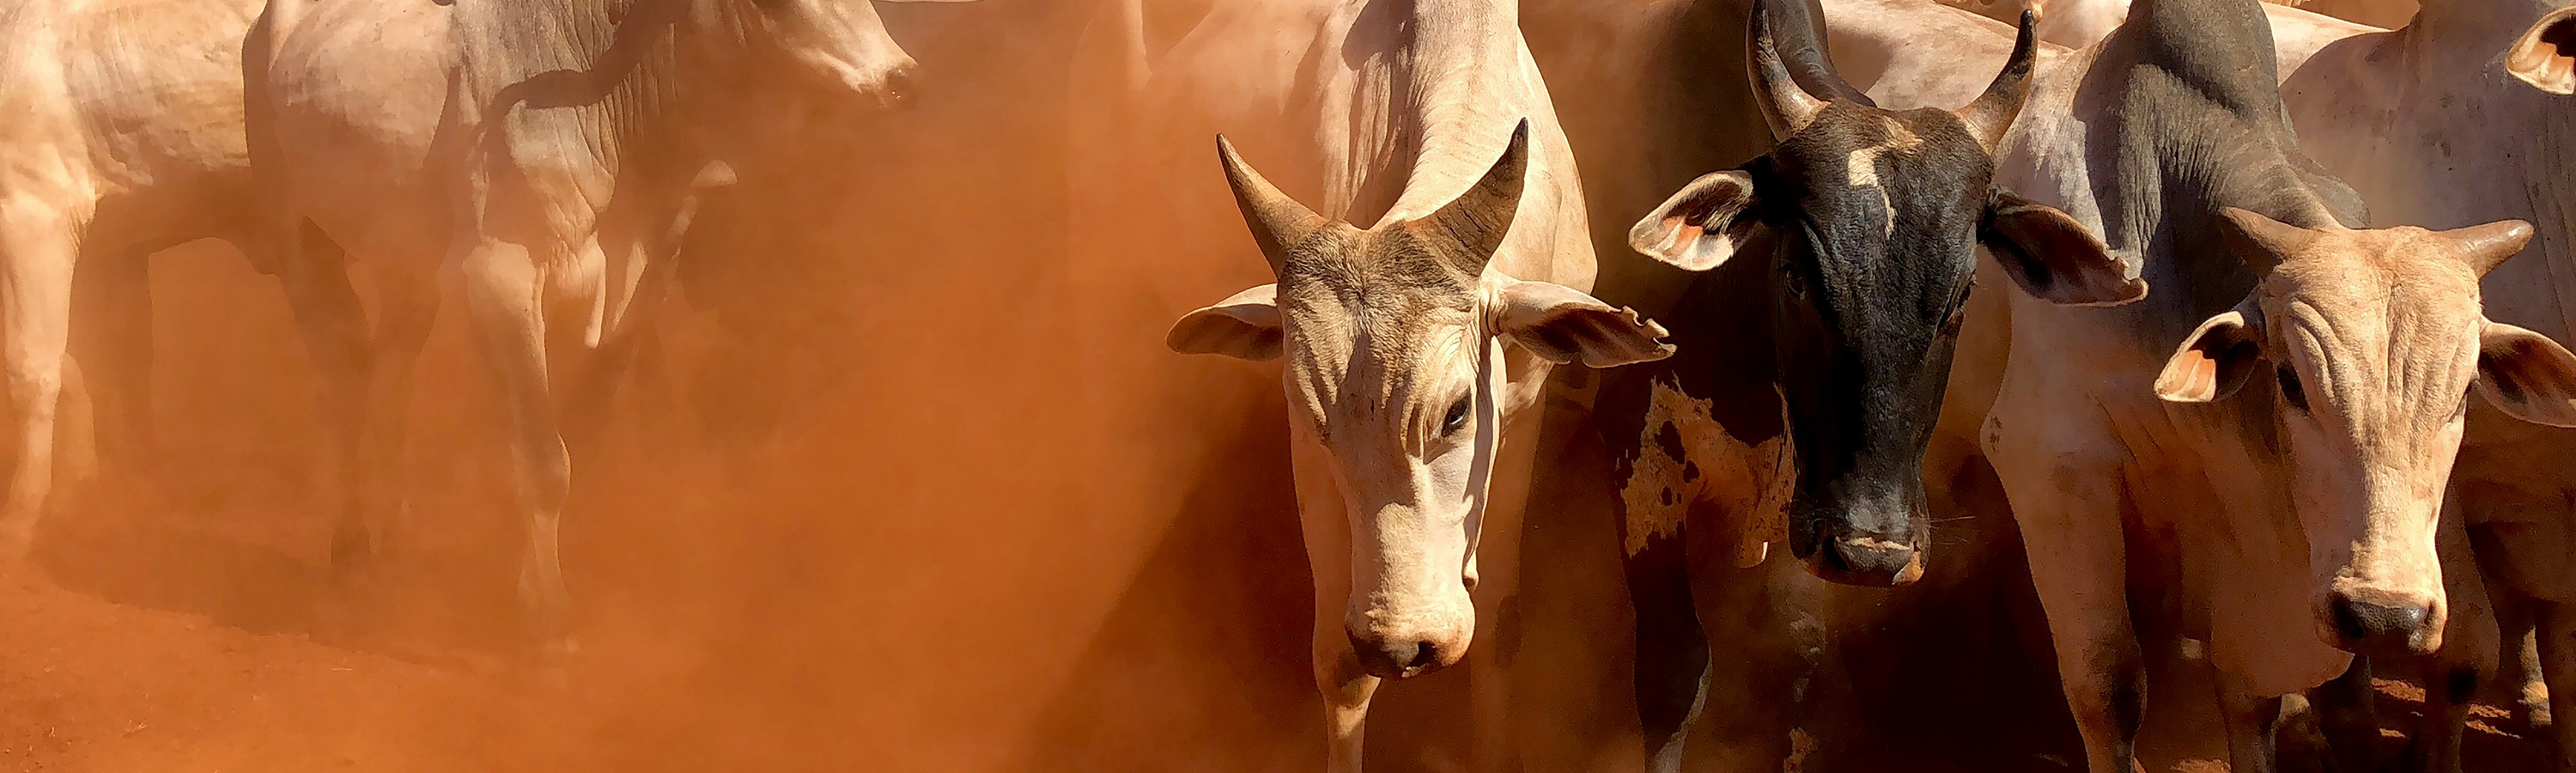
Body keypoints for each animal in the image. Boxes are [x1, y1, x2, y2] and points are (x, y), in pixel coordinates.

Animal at [0, 0, 273, 557]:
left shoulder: (31, 210)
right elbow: (90, 367)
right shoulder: (102, 245)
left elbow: (32, 370)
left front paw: (19, 522)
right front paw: (84, 493)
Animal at [243, 0, 968, 659]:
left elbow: (574, 442)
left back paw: (394, 549)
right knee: (346, 388)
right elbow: (542, 459)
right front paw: (550, 621)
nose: (901, 80)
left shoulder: (639, 285)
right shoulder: (501, 283)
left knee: (389, 386)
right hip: (297, 239)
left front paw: (519, 588)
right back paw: (351, 548)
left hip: (407, 272)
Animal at [1075, 1, 1675, 769]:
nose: (1402, 643)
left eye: (1457, 412)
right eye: (1313, 415)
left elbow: (1501, 625)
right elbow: (1341, 666)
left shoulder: (1528, 405)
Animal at [1972, 0, 2576, 770]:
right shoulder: (2048, 464)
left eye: (2465, 394)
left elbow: (2258, 702)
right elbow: (2109, 692)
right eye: (2288, 379)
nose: (2383, 616)